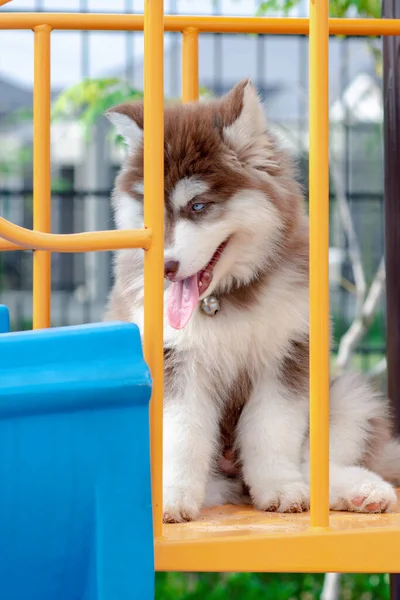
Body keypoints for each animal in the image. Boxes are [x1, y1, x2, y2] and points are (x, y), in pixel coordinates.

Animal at [104, 78, 400, 520]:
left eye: (198, 205)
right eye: (150, 215)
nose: (166, 268)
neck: (224, 298)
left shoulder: (288, 354)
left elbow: (271, 430)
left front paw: (280, 488)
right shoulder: (176, 363)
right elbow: (181, 435)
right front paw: (171, 497)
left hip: (351, 396)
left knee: (316, 463)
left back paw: (359, 490)